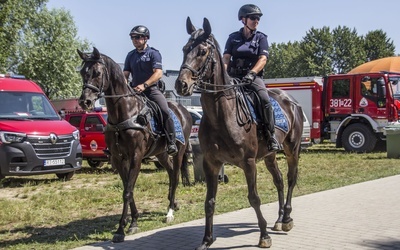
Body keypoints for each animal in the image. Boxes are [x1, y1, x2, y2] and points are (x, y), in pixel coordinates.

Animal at [77, 46, 192, 242]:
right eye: (82, 72)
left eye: (97, 73)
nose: (85, 101)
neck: (124, 113)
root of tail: (183, 110)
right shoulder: (118, 158)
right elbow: (127, 190)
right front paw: (134, 221)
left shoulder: (135, 157)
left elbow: (127, 192)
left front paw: (120, 230)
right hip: (161, 154)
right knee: (170, 173)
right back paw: (173, 203)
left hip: (179, 151)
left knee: (176, 176)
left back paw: (170, 212)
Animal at [175, 17, 304, 248]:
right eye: (184, 49)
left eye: (202, 52)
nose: (181, 84)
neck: (222, 115)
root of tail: (290, 100)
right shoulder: (210, 163)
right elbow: (209, 201)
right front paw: (207, 239)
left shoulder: (249, 162)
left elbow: (254, 198)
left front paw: (264, 236)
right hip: (270, 155)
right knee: (279, 180)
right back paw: (279, 218)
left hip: (292, 149)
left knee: (290, 178)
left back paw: (287, 219)